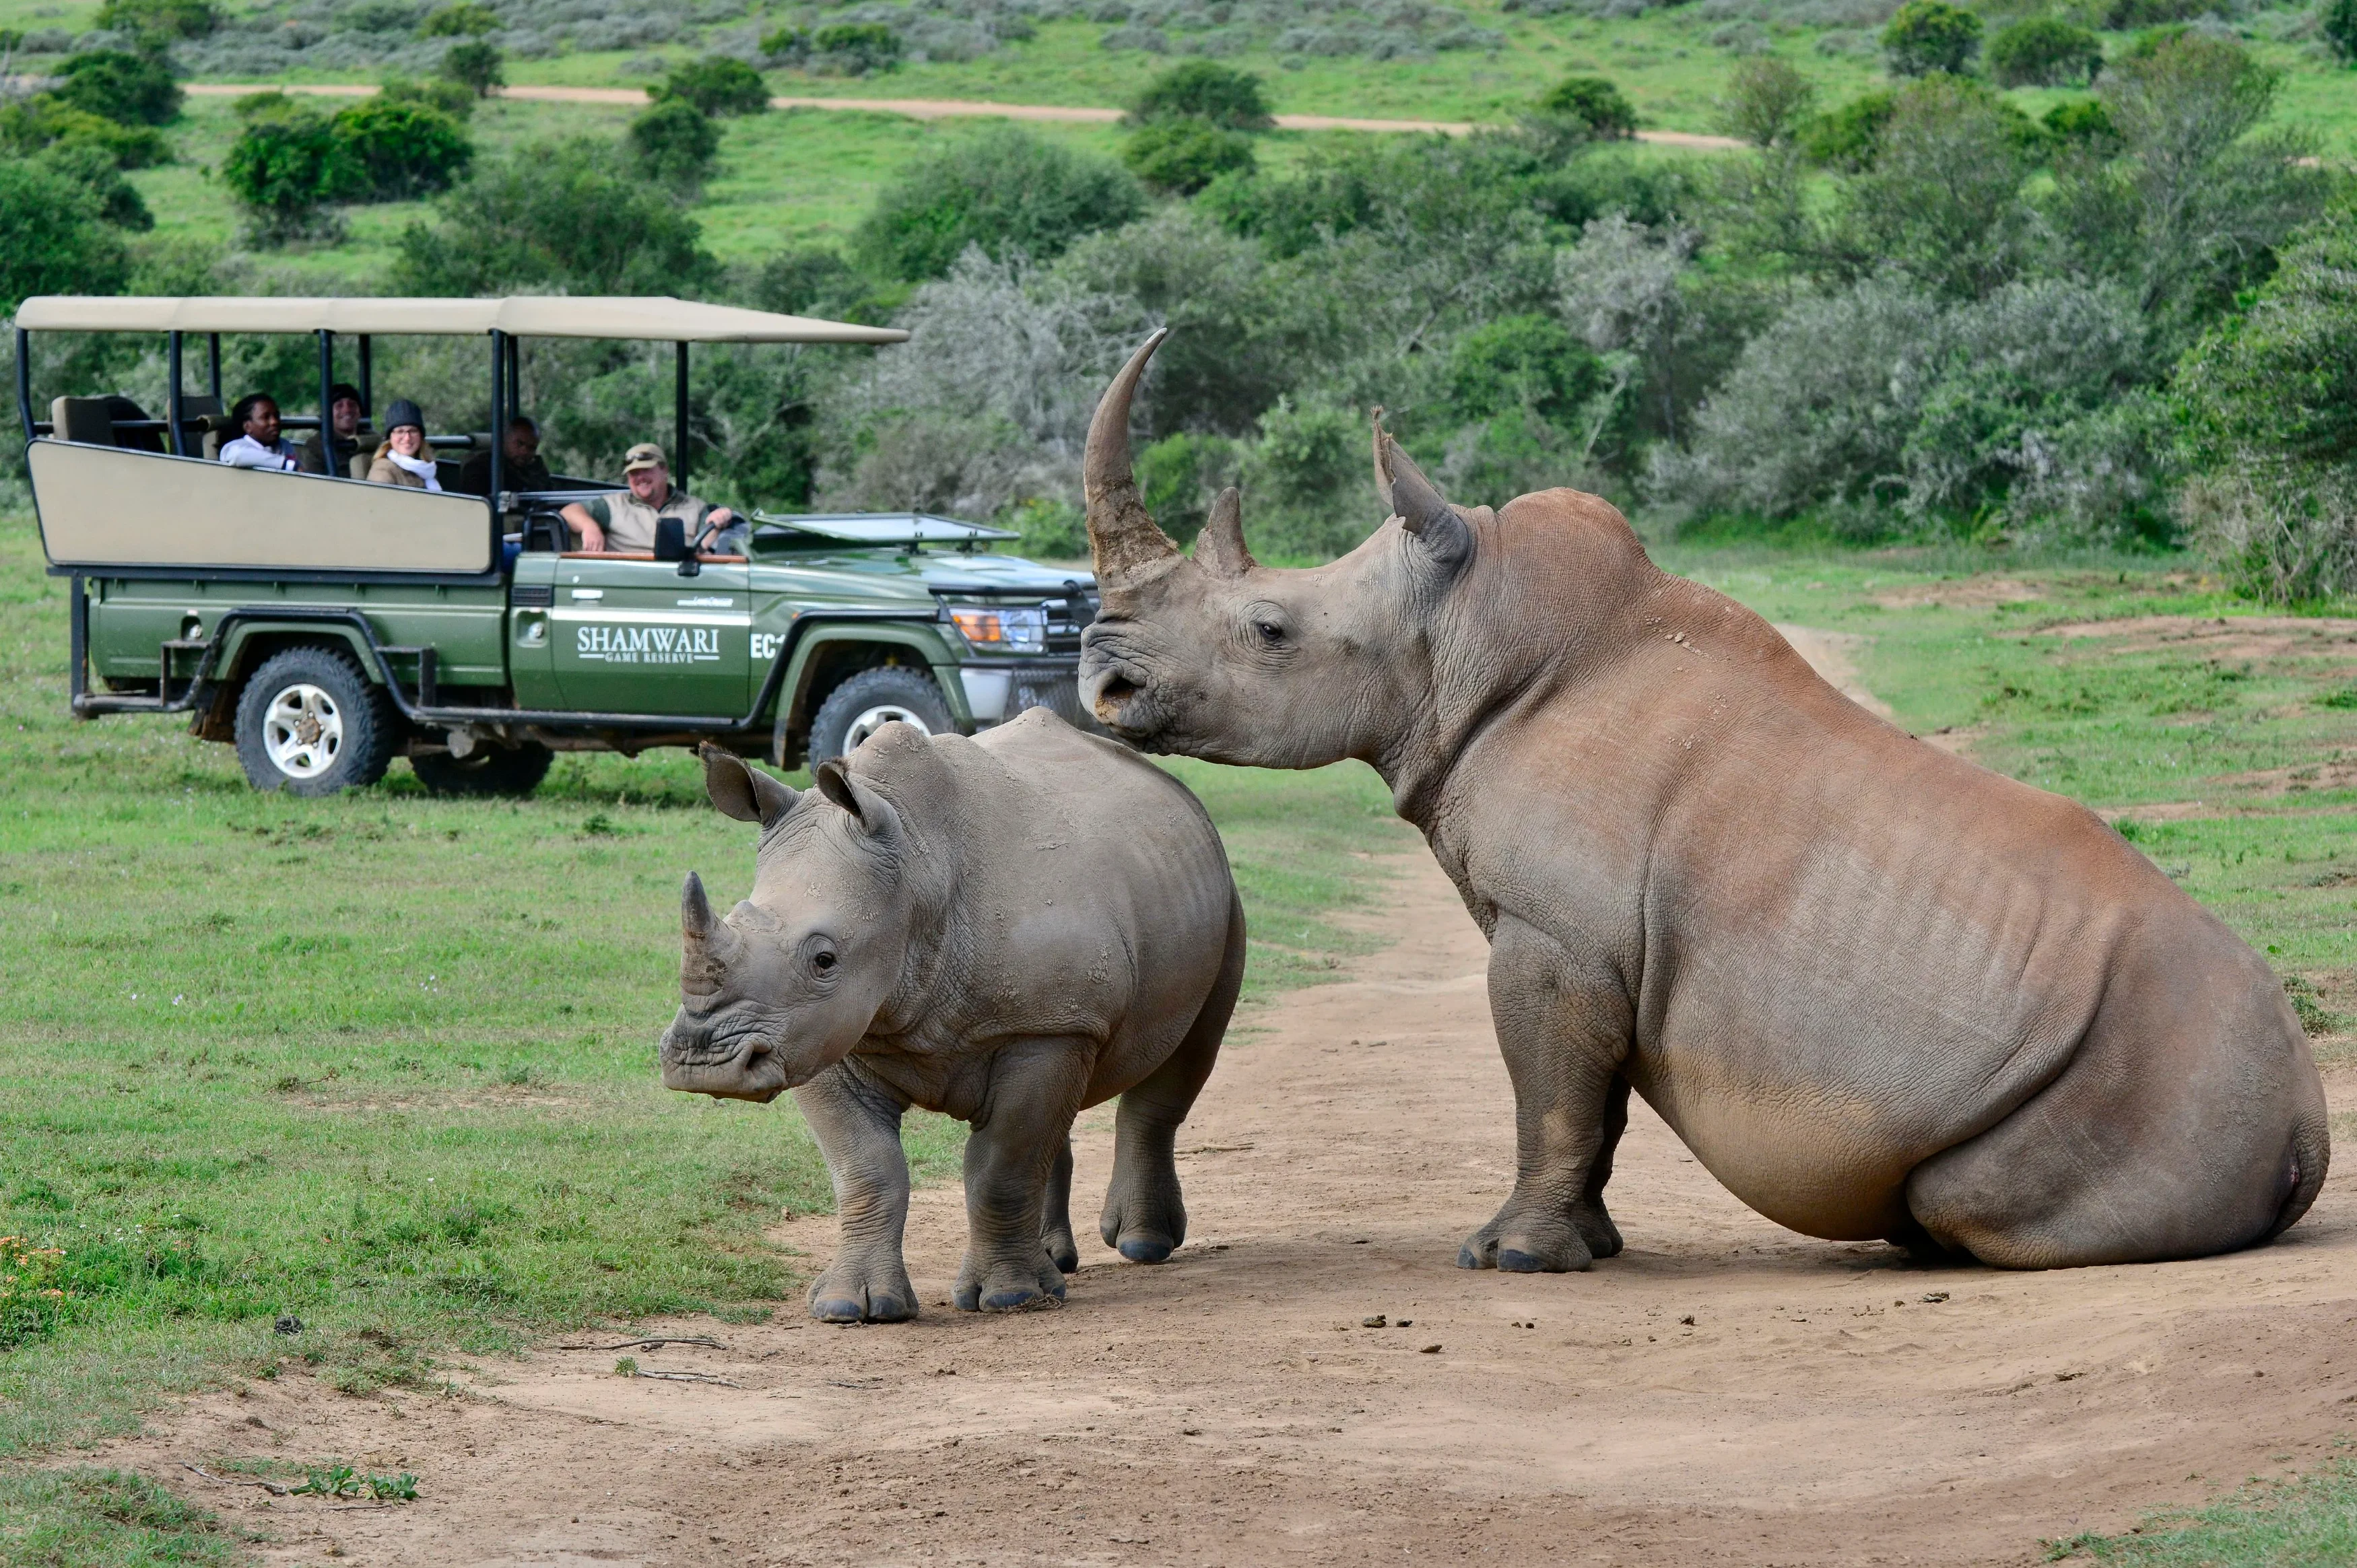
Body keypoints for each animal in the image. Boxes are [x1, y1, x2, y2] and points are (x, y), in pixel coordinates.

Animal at [657, 714, 1245, 1319]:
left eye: (824, 959)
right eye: (735, 918)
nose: (706, 1064)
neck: (916, 866)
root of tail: (1172, 787)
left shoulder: (1046, 1026)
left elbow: (1002, 1166)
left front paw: (1011, 1297)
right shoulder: (817, 1036)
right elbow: (867, 1169)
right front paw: (851, 1307)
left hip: (1222, 904)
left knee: (1180, 1063)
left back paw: (1141, 1246)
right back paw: (1057, 1262)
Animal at [1074, 330, 2328, 1271]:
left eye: (1269, 630)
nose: (1105, 681)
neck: (1463, 631)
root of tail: (2310, 1122)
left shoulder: (1559, 931)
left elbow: (1551, 1090)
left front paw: (1509, 1256)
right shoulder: (1591, 941)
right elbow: (1594, 1104)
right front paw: (1588, 1247)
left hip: (2161, 1077)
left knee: (1967, 1194)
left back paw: (1916, 1239)